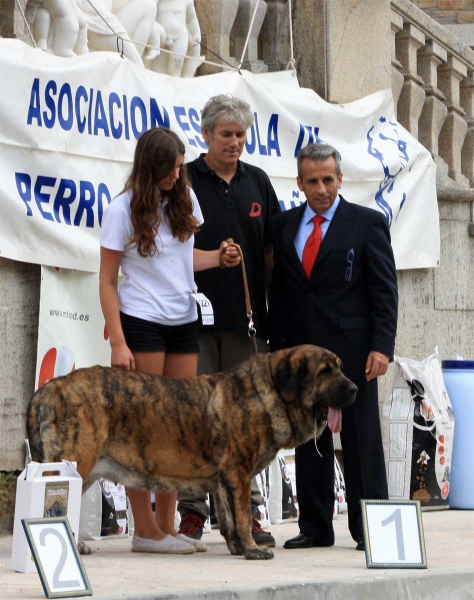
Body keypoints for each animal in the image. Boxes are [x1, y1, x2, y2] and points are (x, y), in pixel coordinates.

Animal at [26, 344, 356, 560]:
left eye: (340, 368)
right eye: (324, 372)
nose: (354, 388)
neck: (267, 394)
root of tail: (48, 389)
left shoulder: (224, 478)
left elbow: (229, 518)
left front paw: (238, 548)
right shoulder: (238, 471)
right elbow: (242, 515)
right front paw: (253, 549)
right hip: (75, 464)